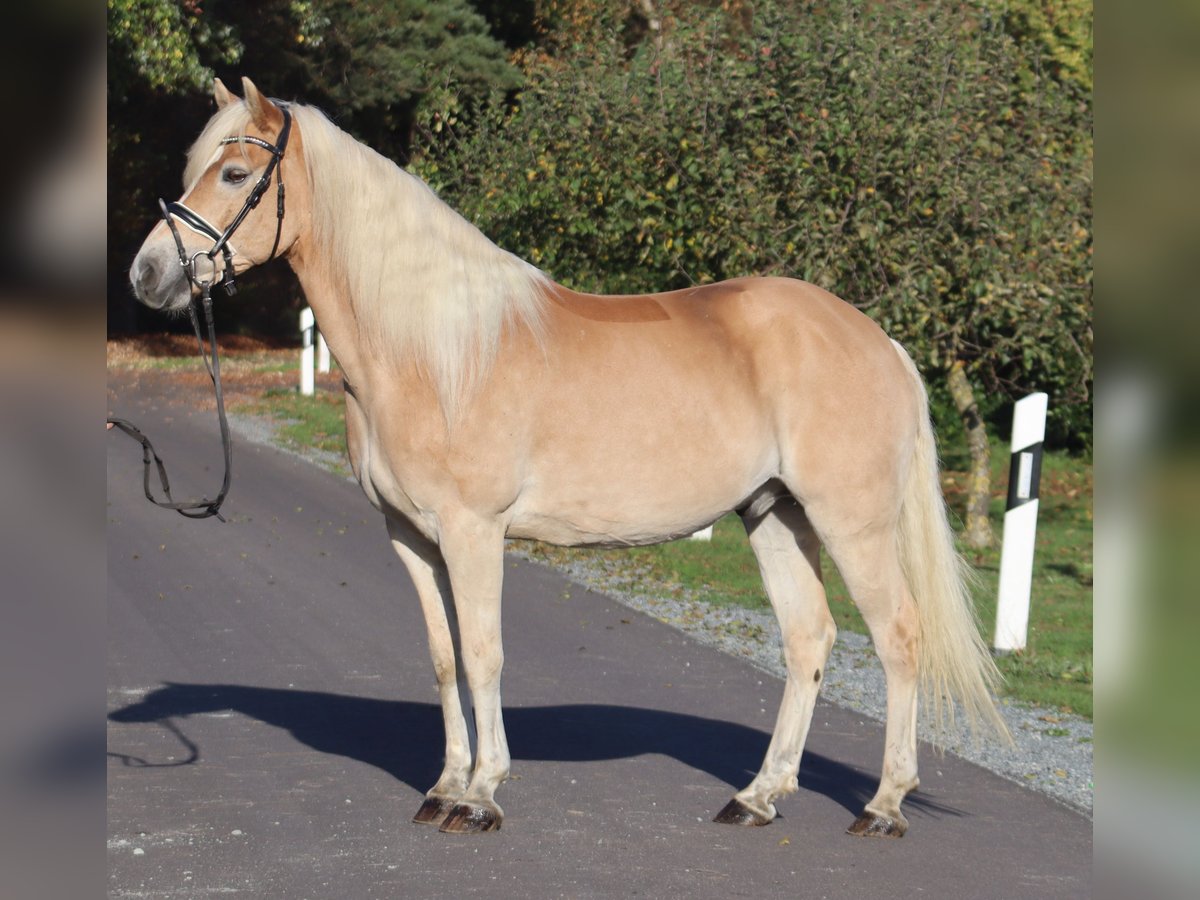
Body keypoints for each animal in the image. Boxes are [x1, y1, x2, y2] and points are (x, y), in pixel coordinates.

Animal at [131, 77, 1008, 840]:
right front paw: (443, 786)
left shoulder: (474, 531)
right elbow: (444, 659)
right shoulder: (410, 537)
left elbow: (483, 654)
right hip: (774, 515)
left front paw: (481, 797)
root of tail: (878, 339)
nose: (149, 273)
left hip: (852, 524)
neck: (434, 351)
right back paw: (757, 797)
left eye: (235, 172)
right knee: (809, 640)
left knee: (898, 638)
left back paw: (884, 806)